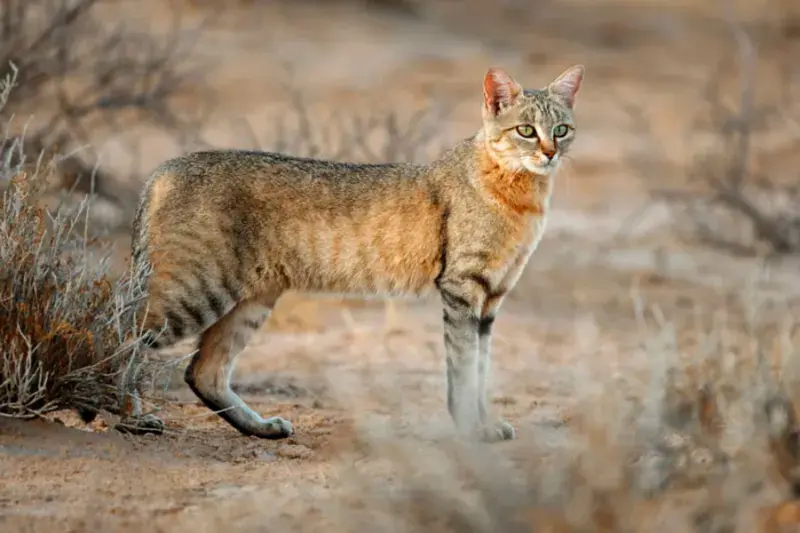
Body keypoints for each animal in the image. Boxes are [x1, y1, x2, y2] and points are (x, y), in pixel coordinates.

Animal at [117, 65, 580, 440]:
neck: (524, 195)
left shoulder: (492, 297)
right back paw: (129, 417)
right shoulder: (463, 287)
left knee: (202, 371)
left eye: (561, 129)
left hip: (250, 298)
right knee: (122, 330)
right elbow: (464, 368)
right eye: (525, 130)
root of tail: (164, 169)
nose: (550, 152)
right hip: (195, 291)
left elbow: (481, 370)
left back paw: (261, 427)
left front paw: (485, 423)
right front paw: (471, 428)